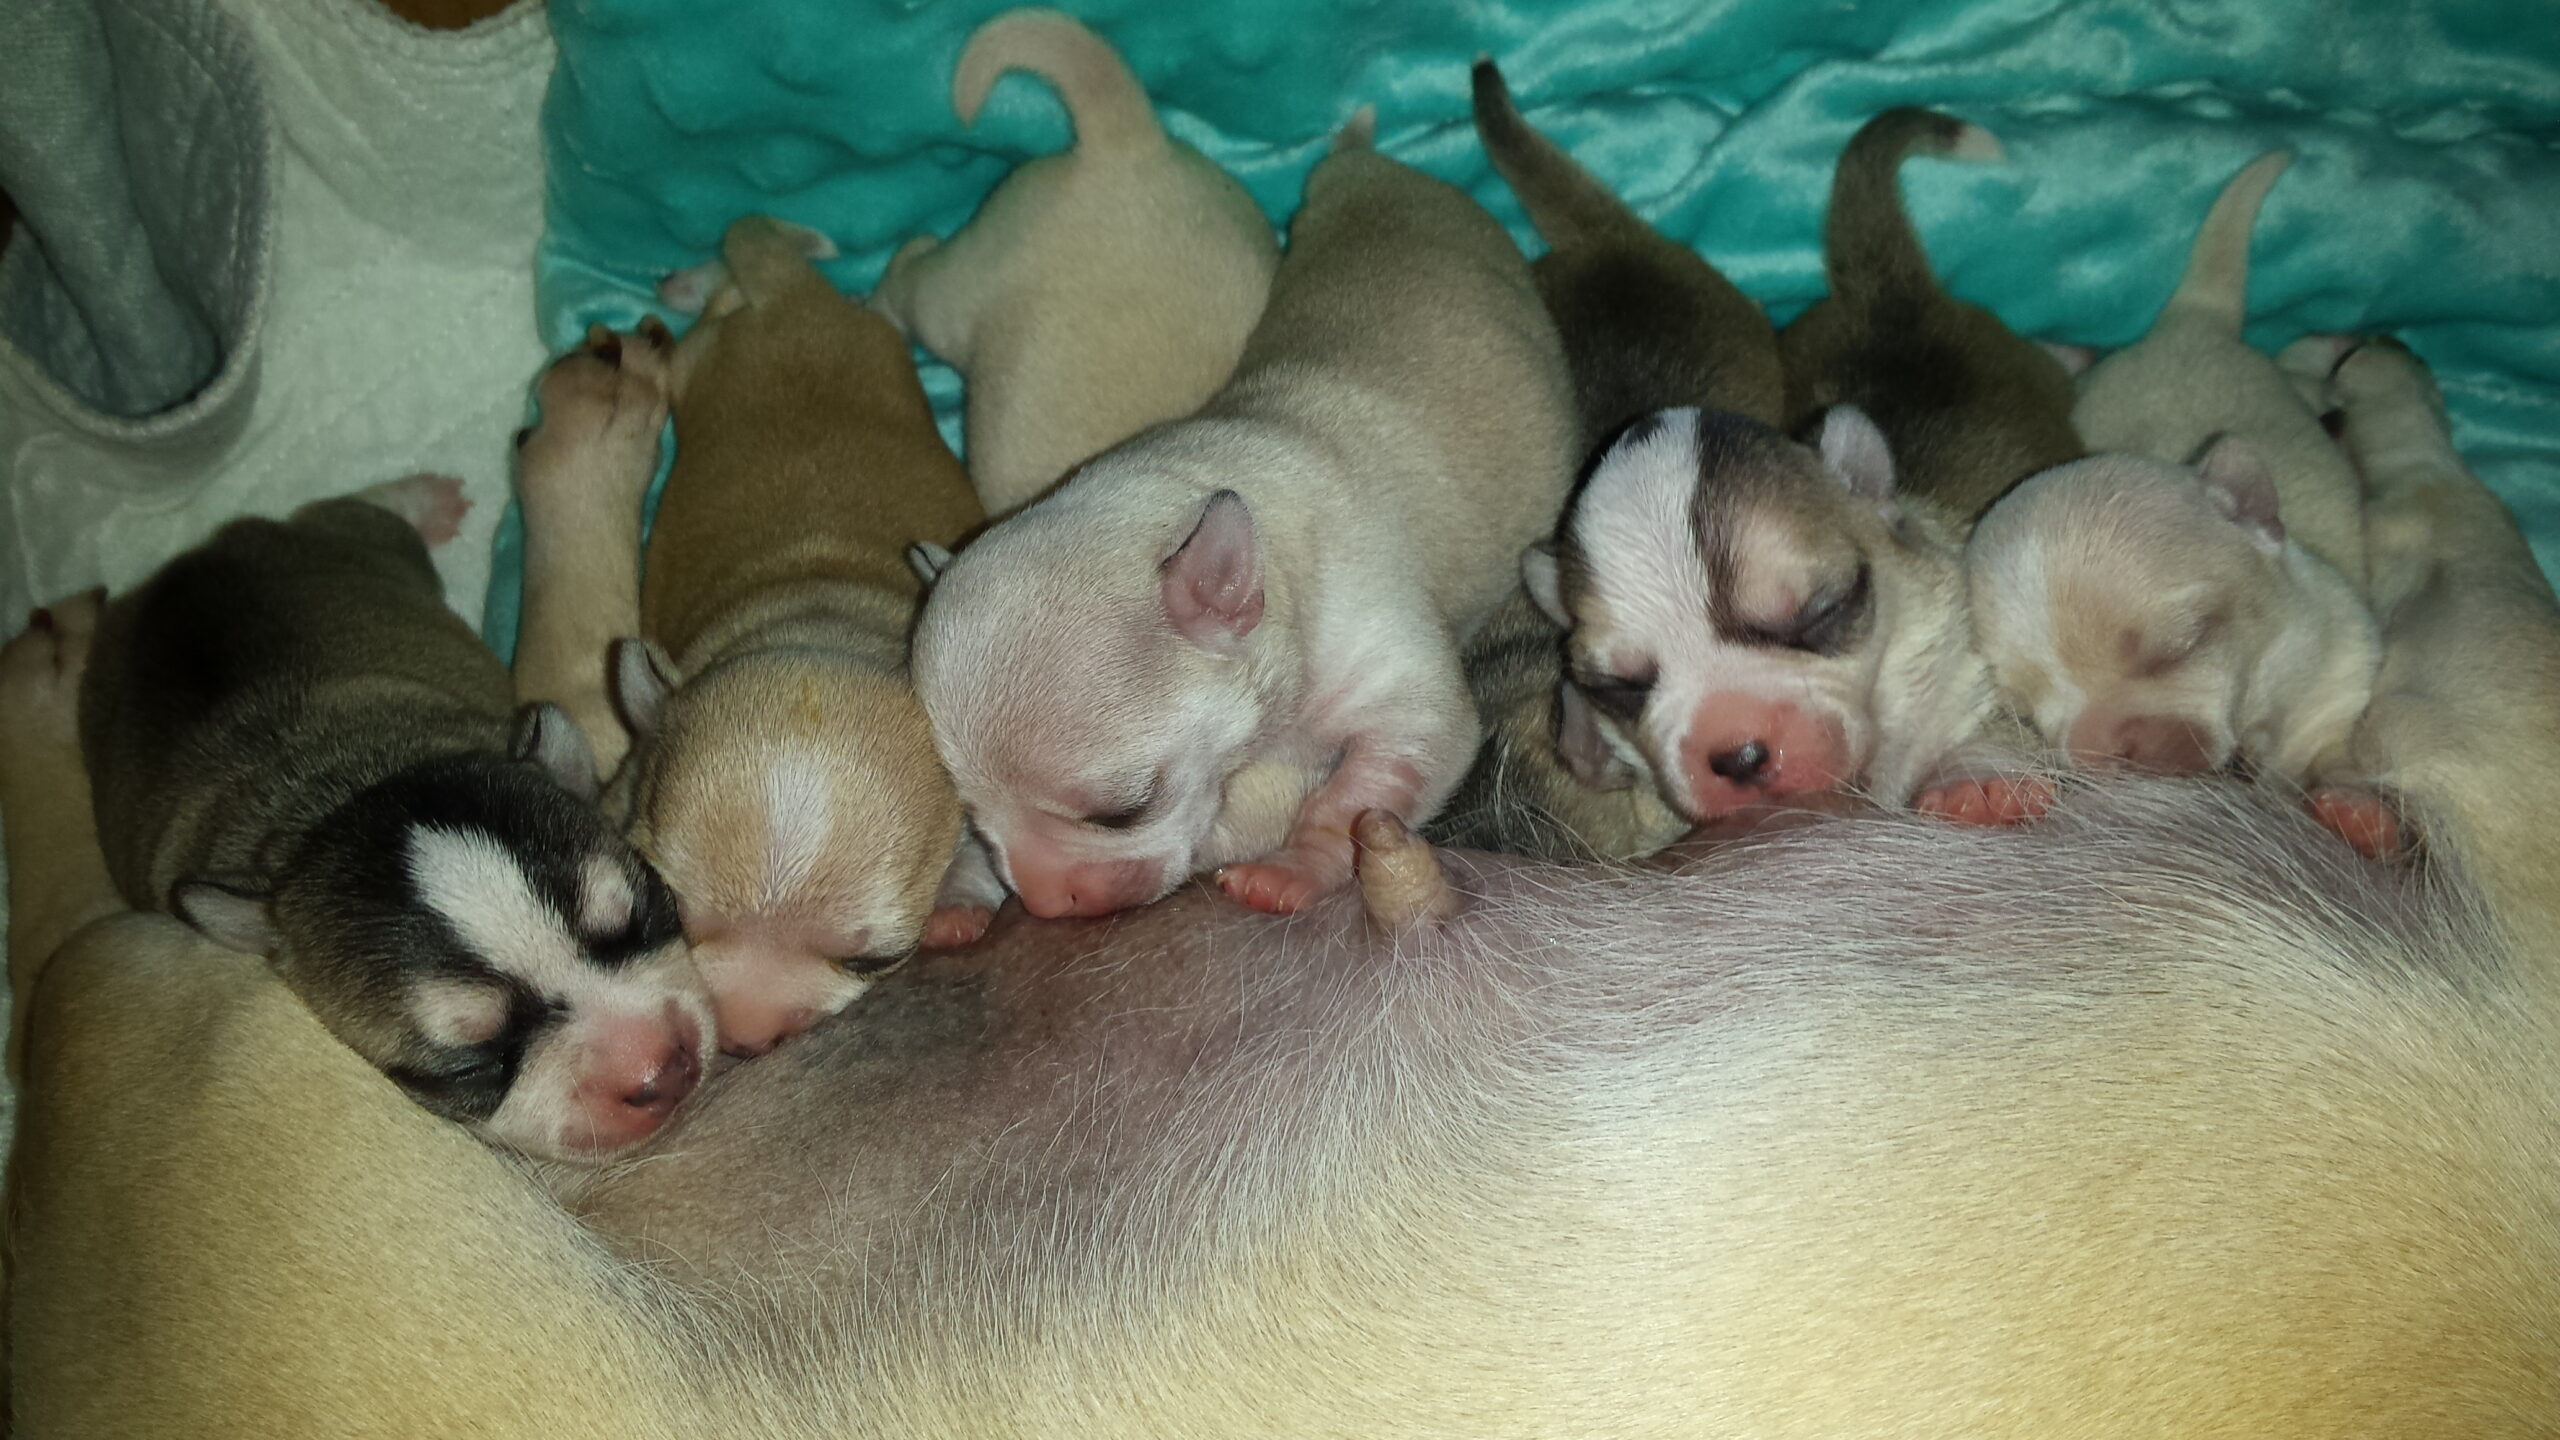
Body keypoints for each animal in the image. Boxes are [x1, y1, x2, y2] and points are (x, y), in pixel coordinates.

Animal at [71, 476, 711, 1163]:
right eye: (473, 1064)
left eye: (647, 912)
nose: (659, 1068)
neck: (350, 788)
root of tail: (187, 560)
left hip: (359, 540)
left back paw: (422, 499)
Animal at [610, 216, 988, 1058]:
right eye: (669, 911)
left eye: (875, 959)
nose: (746, 1036)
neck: (818, 616)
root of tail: (792, 297)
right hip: (704, 359)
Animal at [910, 114, 1578, 918]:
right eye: (971, 815)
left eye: (1122, 812)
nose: (1042, 905)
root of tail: (1367, 170)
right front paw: (958, 895)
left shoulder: (1393, 678)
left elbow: (1366, 787)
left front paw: (1297, 866)